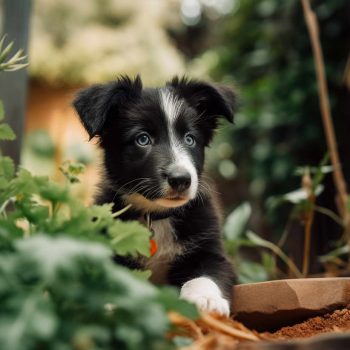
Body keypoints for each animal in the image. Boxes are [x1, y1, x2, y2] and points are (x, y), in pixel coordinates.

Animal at [74, 75, 238, 316]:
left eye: (190, 139)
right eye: (142, 139)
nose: (181, 179)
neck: (157, 216)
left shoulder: (209, 249)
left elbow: (206, 274)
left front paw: (205, 299)